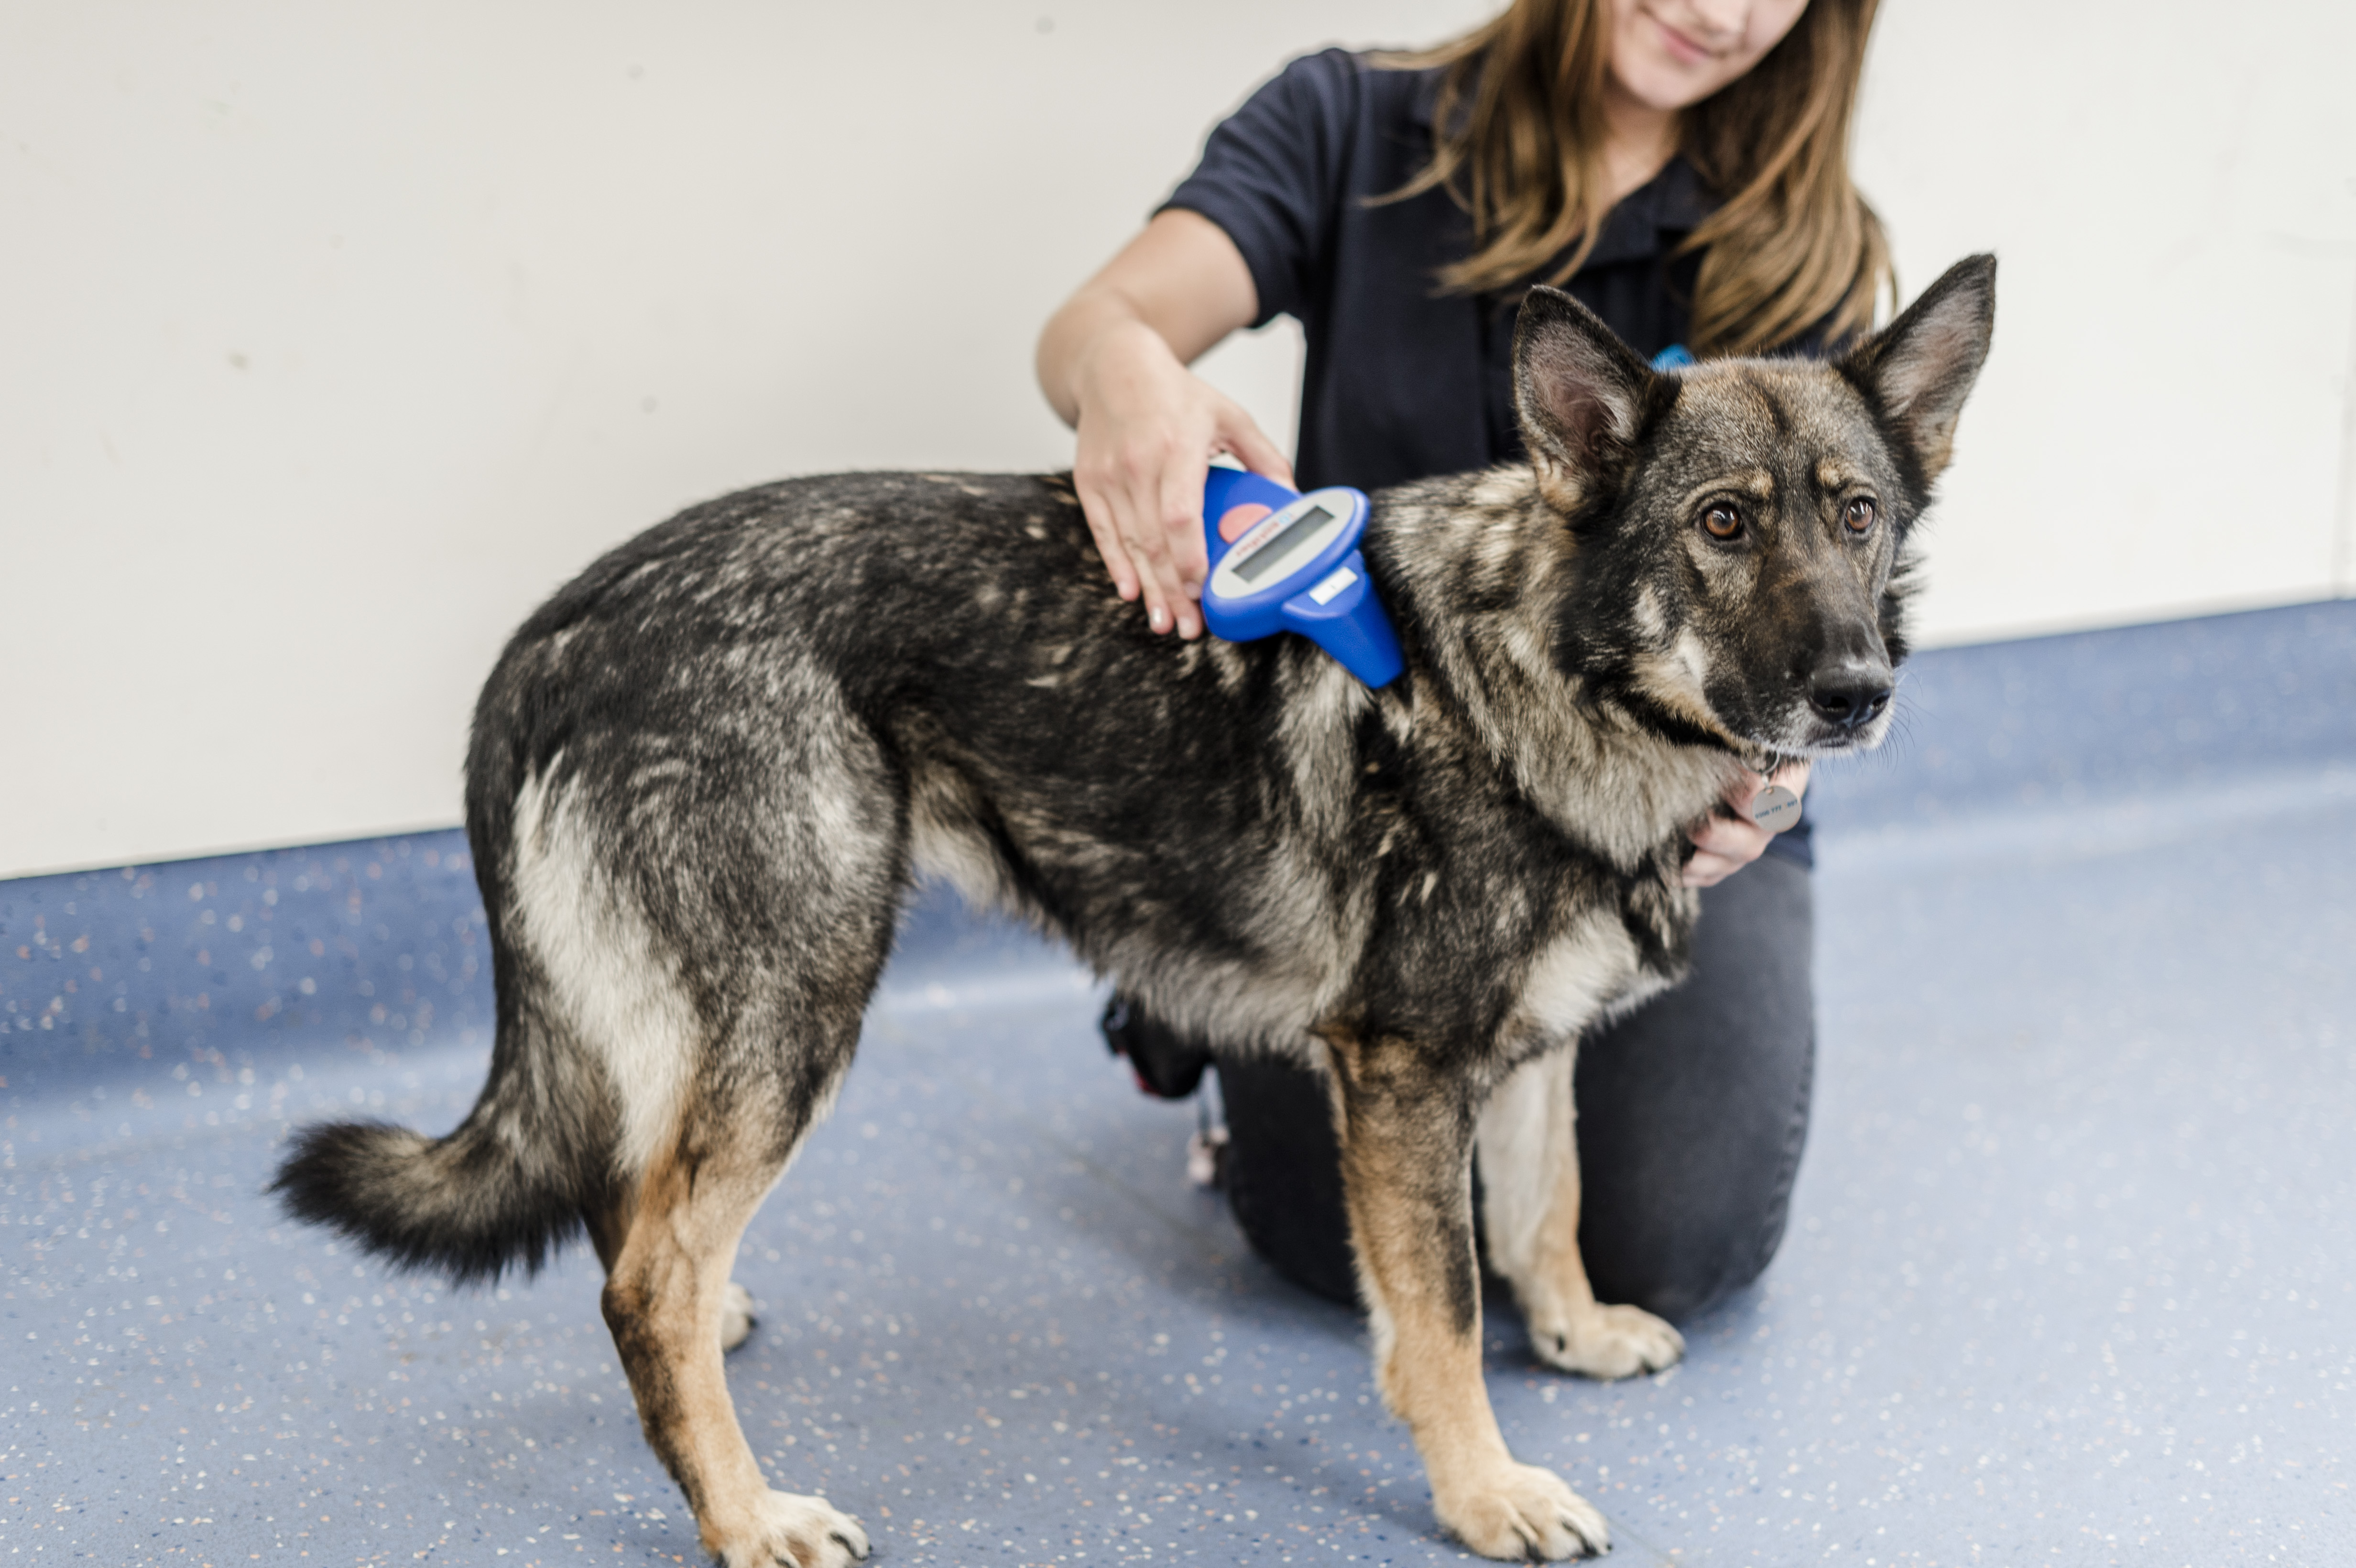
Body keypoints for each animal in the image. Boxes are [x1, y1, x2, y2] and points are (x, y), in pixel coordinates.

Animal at [285, 253, 1997, 1554]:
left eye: (1853, 514)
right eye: (1721, 522)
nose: (1858, 694)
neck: (1547, 668)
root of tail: (561, 627)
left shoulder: (1517, 1057)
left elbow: (1544, 1209)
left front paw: (1569, 1331)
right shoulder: (1402, 1075)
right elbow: (1444, 1313)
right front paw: (1484, 1491)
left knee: (635, 1213)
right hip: (797, 1004)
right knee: (644, 1273)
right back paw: (745, 1512)